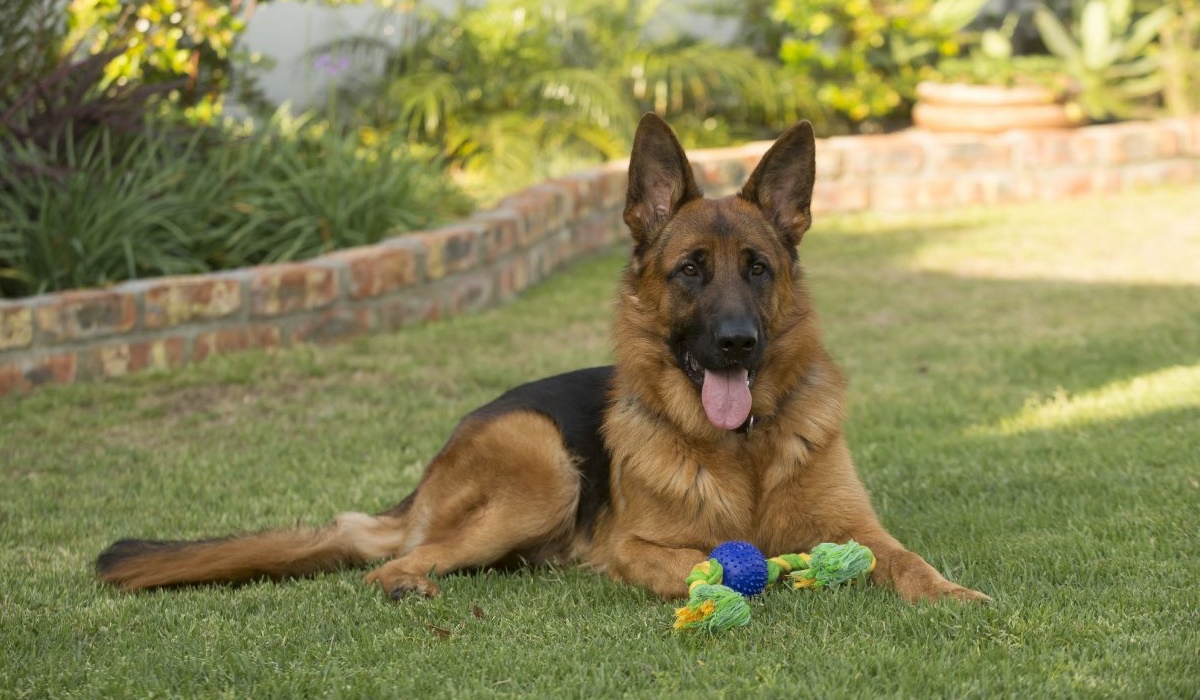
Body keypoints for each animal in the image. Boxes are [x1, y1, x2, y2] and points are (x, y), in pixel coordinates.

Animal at [98, 115, 988, 602]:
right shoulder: (639, 542)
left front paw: (954, 592)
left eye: (759, 269)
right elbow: (712, 560)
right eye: (691, 271)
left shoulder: (860, 530)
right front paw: (737, 573)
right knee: (395, 561)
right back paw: (408, 581)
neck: (742, 453)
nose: (737, 342)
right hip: (544, 464)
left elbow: (908, 561)